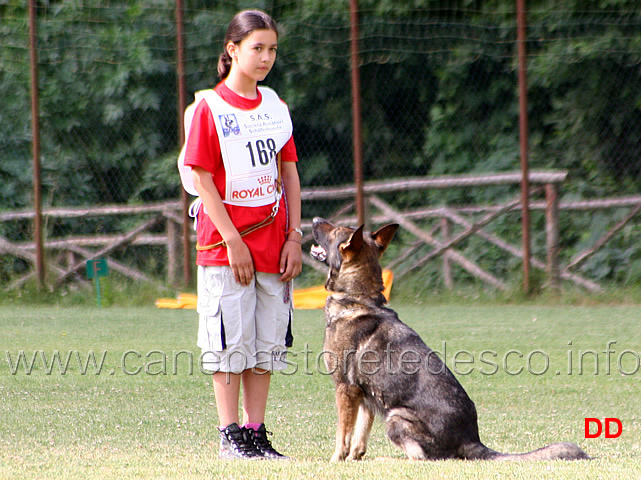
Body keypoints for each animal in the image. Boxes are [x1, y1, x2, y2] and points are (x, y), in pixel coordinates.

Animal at [308, 219, 588, 464]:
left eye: (335, 230)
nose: (315, 218)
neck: (358, 298)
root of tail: (471, 440)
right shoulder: (366, 398)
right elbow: (359, 438)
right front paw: (353, 460)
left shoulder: (345, 389)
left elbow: (342, 435)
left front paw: (336, 461)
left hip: (396, 417)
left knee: (420, 459)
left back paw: (386, 459)